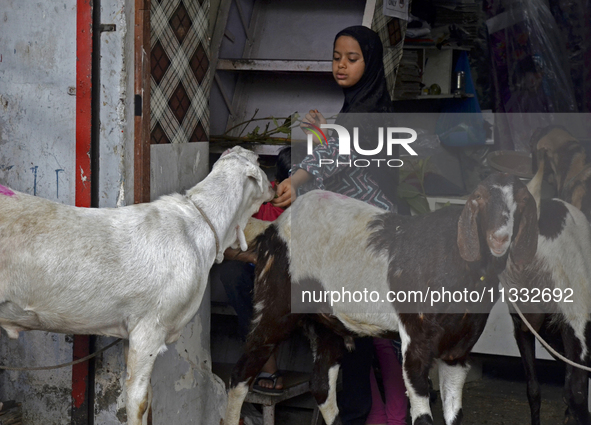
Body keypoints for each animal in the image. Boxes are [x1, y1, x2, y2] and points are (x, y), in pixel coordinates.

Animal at [224, 172, 540, 424]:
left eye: (522, 204)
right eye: (480, 201)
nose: (499, 238)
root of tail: (271, 229)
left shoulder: (458, 352)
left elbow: (455, 415)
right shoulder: (416, 340)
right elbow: (422, 415)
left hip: (327, 323)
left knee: (321, 385)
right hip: (274, 306)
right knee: (239, 375)